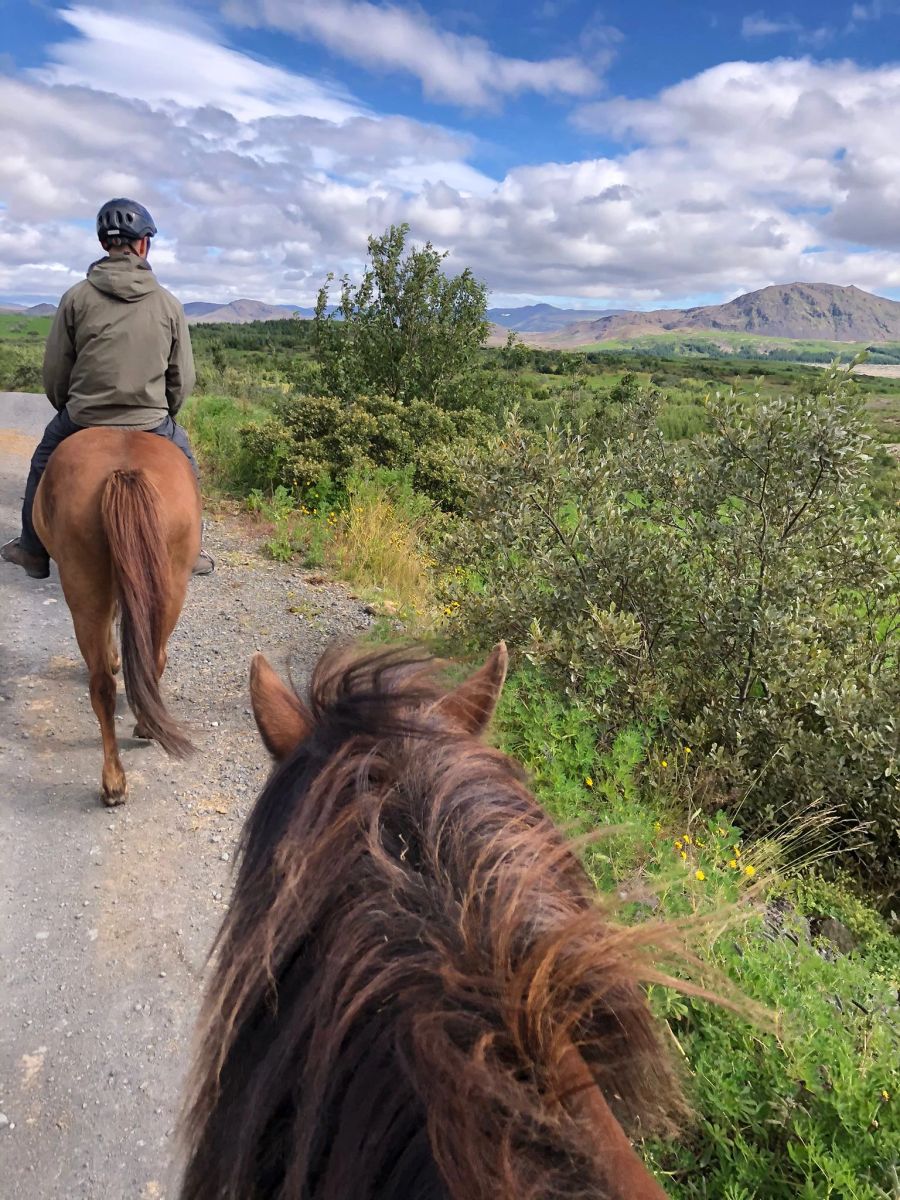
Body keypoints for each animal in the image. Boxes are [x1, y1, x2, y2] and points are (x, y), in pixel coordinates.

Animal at [34, 427, 199, 801]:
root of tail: (124, 472)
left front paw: (112, 657)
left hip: (84, 586)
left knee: (102, 685)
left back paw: (113, 781)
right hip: (170, 586)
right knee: (154, 658)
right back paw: (143, 731)